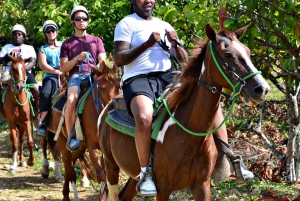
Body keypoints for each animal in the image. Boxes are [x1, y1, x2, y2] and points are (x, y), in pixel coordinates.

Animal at [43, 61, 119, 201]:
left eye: (118, 86)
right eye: (102, 88)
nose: (112, 106)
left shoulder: (104, 150)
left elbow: (107, 178)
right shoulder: (91, 145)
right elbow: (101, 175)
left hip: (80, 147)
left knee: (70, 165)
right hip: (63, 141)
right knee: (69, 167)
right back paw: (69, 196)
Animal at [99, 23, 272, 199]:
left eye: (248, 52)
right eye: (228, 54)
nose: (262, 89)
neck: (189, 135)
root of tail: (108, 106)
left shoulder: (202, 185)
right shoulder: (163, 189)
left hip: (134, 176)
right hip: (111, 167)